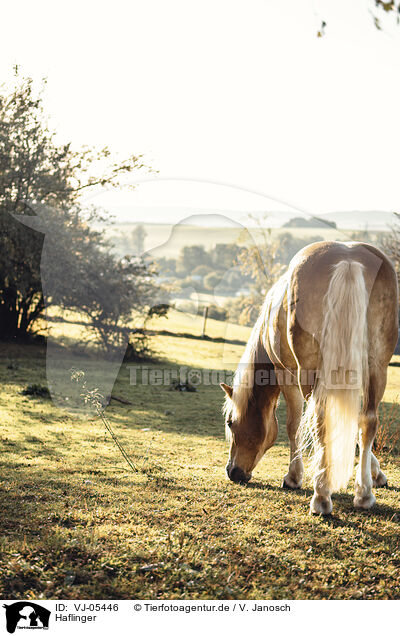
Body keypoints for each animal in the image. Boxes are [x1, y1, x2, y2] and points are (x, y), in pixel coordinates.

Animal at [220, 241, 398, 516]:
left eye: (230, 423)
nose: (232, 472)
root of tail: (348, 260)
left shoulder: (286, 374)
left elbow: (293, 425)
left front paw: (293, 477)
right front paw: (376, 474)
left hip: (309, 374)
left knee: (319, 420)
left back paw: (321, 497)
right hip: (377, 367)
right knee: (368, 421)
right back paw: (364, 494)